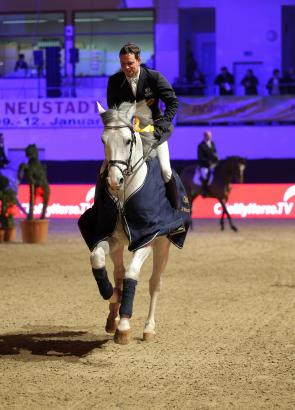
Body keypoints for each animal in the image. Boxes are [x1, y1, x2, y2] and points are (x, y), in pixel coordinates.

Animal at [78, 101, 190, 344]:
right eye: (103, 141)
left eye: (128, 141)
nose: (114, 181)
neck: (124, 194)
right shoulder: (108, 235)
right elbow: (97, 259)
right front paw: (110, 294)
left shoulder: (147, 239)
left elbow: (132, 275)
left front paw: (125, 326)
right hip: (118, 245)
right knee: (118, 272)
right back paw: (112, 315)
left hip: (163, 245)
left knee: (154, 283)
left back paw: (148, 328)